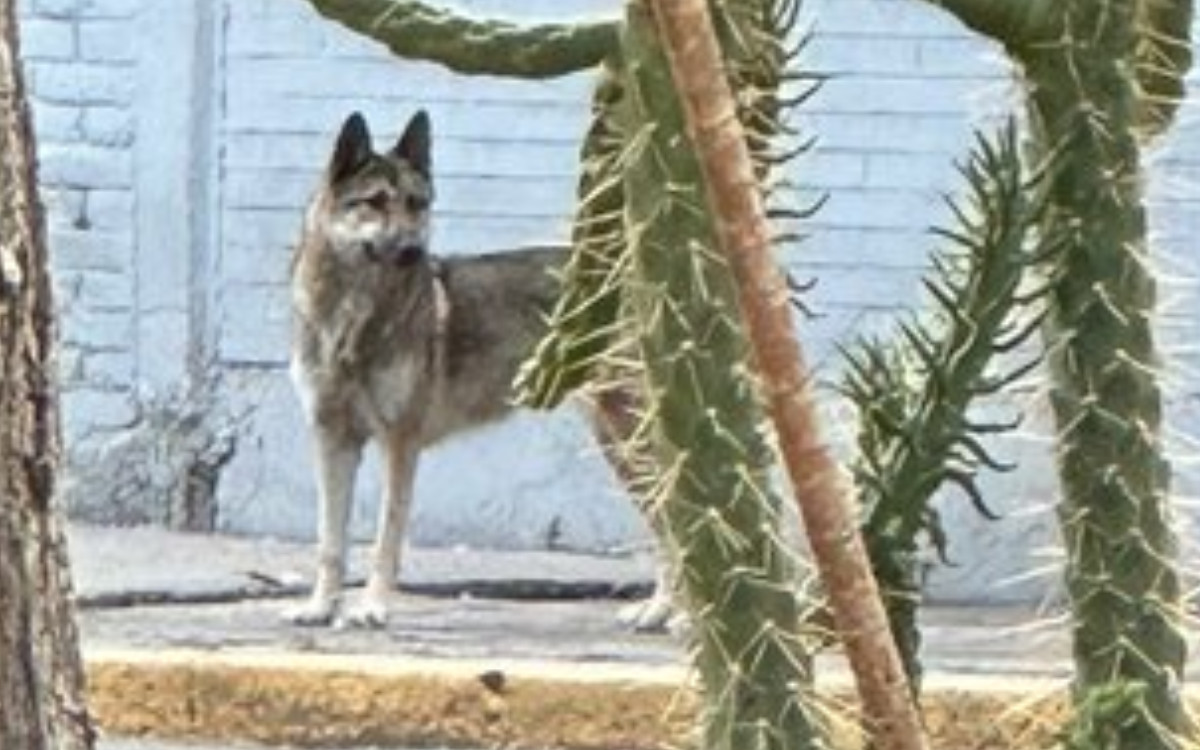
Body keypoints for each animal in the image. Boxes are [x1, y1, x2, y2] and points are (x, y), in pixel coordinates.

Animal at [284, 109, 672, 624]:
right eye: (375, 202)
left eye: (417, 204)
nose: (413, 251)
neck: (352, 316)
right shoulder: (332, 441)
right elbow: (330, 541)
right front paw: (320, 607)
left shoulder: (399, 444)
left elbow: (386, 539)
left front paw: (372, 607)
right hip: (619, 444)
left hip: (631, 438)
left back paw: (671, 613)